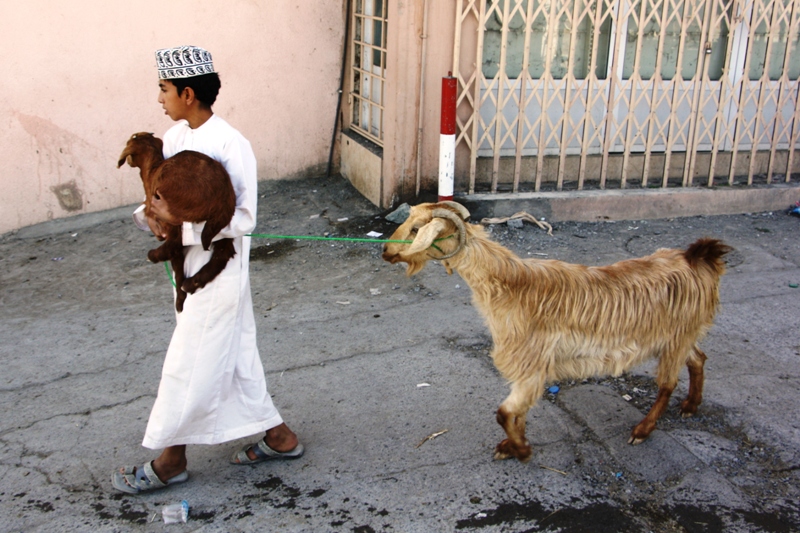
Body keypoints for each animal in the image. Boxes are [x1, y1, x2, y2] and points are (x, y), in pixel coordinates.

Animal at [116, 131, 234, 312]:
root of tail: (221, 199)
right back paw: (193, 282)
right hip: (223, 220)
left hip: (176, 210)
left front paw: (179, 299)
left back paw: (156, 257)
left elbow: (177, 260)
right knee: (224, 249)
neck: (152, 169)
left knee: (176, 243)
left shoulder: (161, 214)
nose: (128, 161)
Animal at [382, 202, 732, 460]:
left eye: (416, 229)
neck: (512, 287)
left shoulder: (531, 363)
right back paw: (690, 407)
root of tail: (698, 258)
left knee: (667, 384)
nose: (386, 251)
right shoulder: (529, 369)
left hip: (676, 337)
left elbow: (504, 413)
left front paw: (522, 450)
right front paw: (511, 446)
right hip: (683, 334)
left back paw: (642, 431)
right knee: (698, 359)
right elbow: (517, 413)